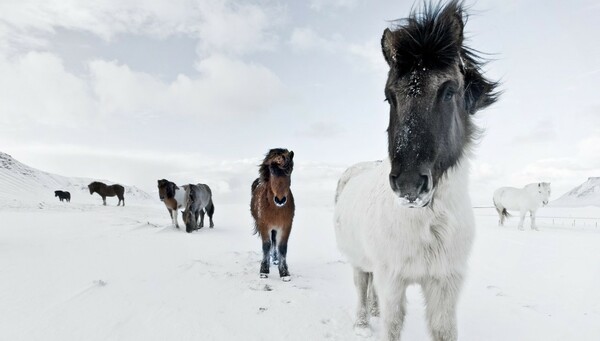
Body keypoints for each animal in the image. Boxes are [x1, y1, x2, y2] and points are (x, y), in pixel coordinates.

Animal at [250, 147, 294, 280]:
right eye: (272, 170)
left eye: (289, 170)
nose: (280, 200)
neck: (276, 209)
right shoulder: (264, 225)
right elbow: (266, 245)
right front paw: (264, 270)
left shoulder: (286, 226)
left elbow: (282, 247)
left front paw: (284, 273)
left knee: (275, 241)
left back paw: (275, 259)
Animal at [336, 1, 500, 338]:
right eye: (389, 97)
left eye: (449, 91)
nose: (409, 184)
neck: (428, 225)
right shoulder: (392, 280)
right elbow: (392, 325)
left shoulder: (445, 285)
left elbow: (442, 329)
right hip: (358, 258)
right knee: (361, 284)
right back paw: (362, 324)